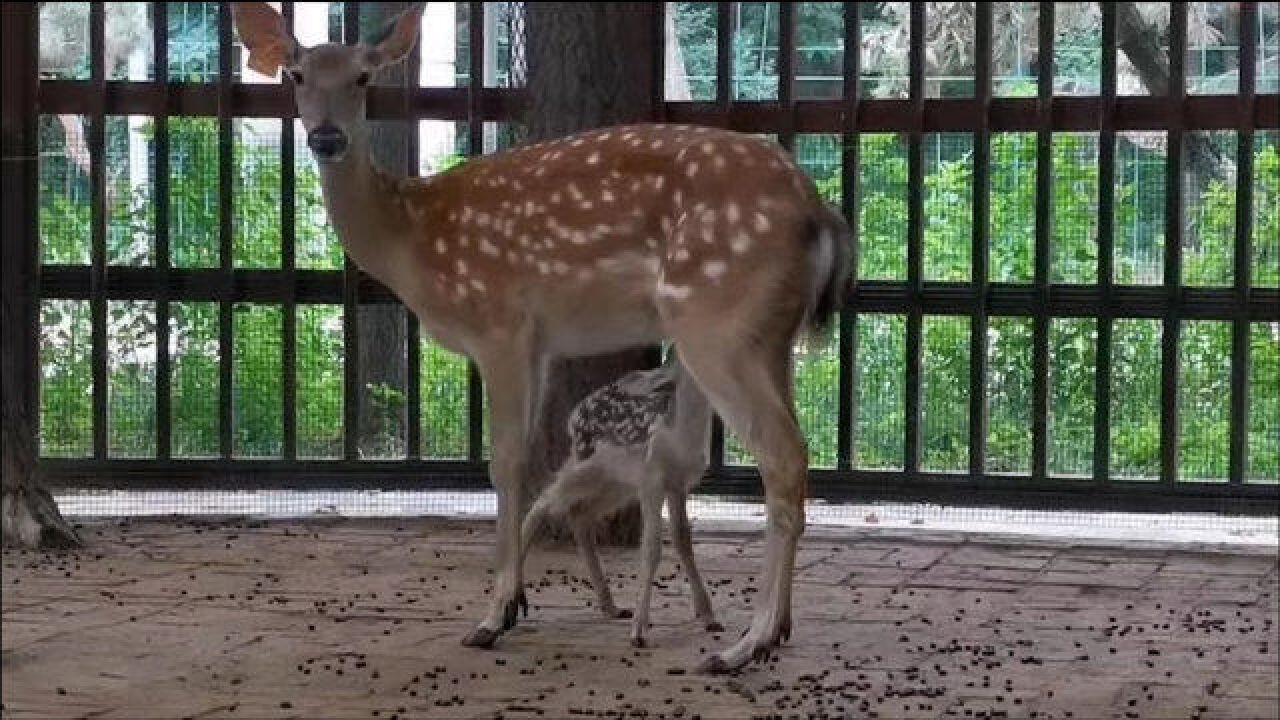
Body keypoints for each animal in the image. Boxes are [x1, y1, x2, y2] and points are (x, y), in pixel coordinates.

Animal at [232, 1, 849, 671]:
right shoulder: (542, 345)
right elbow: (533, 459)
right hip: (772, 335)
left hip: (716, 319)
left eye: (364, 77)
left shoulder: (499, 322)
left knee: (782, 454)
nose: (326, 137)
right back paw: (778, 628)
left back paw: (745, 642)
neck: (410, 243)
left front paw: (495, 614)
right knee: (792, 452)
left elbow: (505, 463)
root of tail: (820, 211)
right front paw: (518, 601)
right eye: (295, 75)